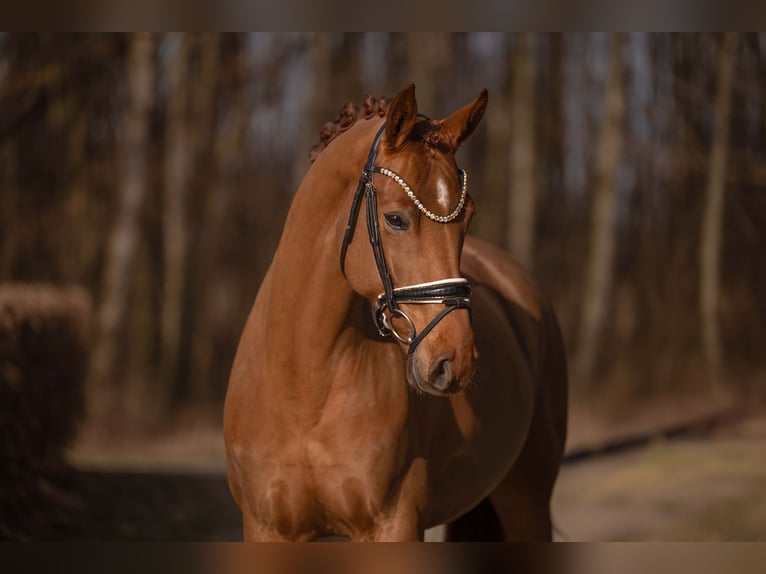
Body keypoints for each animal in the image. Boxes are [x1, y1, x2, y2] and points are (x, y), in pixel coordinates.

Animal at [223, 84, 568, 541]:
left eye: (468, 217)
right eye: (395, 219)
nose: (454, 361)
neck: (303, 388)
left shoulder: (394, 523)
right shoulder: (267, 529)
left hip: (527, 500)